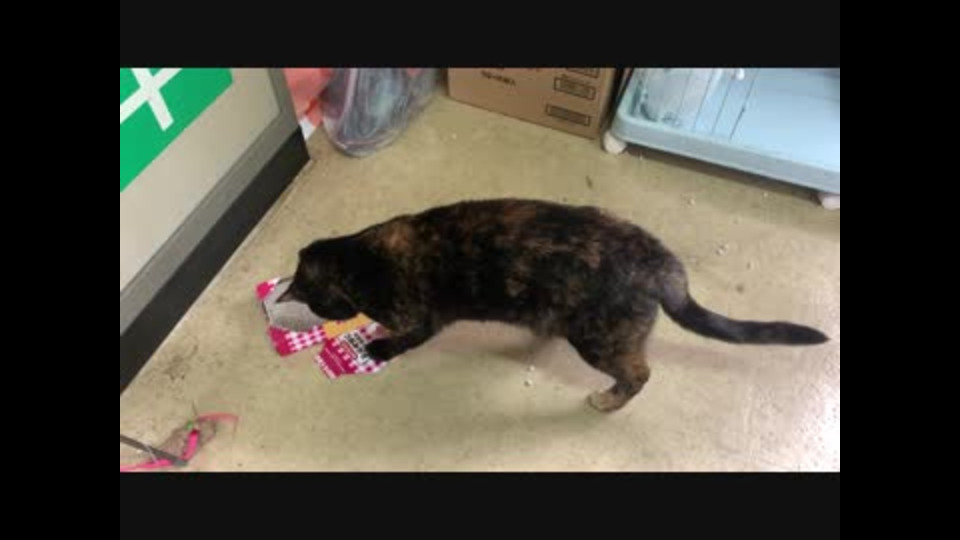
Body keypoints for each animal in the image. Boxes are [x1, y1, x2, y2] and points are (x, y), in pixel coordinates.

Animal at [279, 198, 828, 412]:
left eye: (320, 307)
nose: (329, 317)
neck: (360, 257)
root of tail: (661, 262)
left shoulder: (419, 317)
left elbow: (406, 339)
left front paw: (378, 347)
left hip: (599, 338)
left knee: (640, 373)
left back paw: (606, 401)